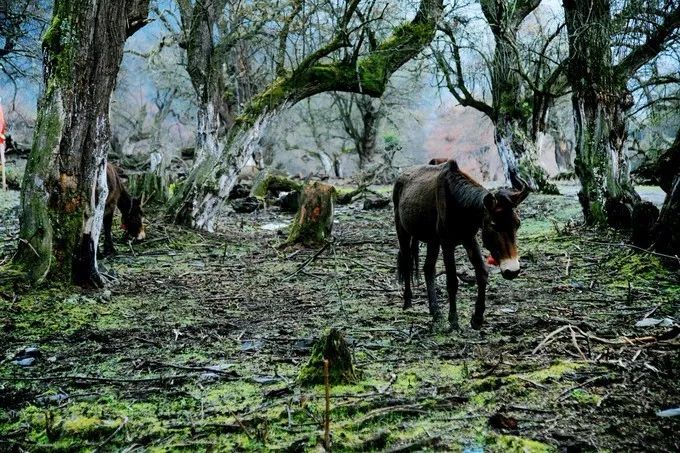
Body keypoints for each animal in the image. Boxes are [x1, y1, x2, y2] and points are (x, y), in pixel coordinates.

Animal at [390, 159, 528, 328]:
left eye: (517, 224)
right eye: (493, 225)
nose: (512, 271)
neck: (461, 206)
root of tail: (401, 176)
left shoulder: (469, 239)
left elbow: (482, 273)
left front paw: (477, 318)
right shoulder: (447, 243)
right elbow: (452, 281)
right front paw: (454, 320)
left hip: (432, 241)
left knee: (428, 269)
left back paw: (435, 312)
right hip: (403, 232)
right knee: (407, 263)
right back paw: (408, 302)